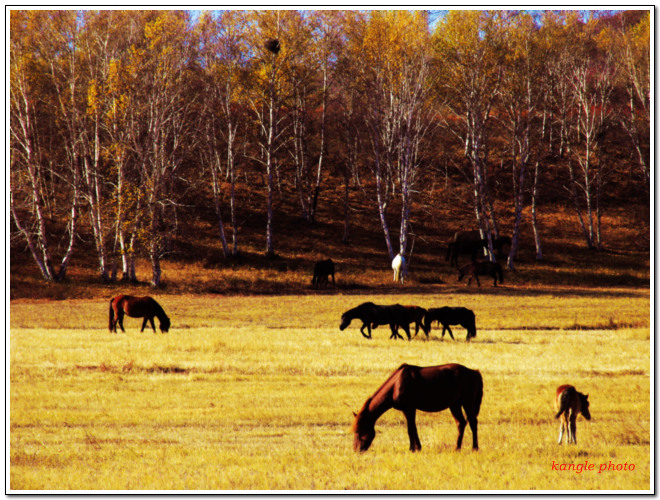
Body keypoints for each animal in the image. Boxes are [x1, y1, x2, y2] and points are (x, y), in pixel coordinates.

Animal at [350, 364, 484, 454]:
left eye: (359, 431)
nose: (356, 450)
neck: (396, 384)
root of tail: (474, 372)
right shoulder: (407, 410)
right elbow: (412, 428)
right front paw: (416, 447)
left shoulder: (409, 408)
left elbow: (411, 429)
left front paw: (413, 449)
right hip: (454, 405)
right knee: (461, 423)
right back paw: (457, 448)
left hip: (467, 403)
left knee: (473, 423)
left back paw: (475, 448)